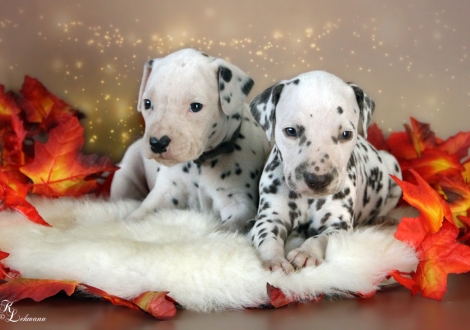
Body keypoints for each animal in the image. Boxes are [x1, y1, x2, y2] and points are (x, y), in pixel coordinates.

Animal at [111, 47, 270, 231]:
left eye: (195, 106)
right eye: (147, 103)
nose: (157, 143)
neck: (199, 164)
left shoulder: (239, 202)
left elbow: (230, 225)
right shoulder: (164, 194)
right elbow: (140, 213)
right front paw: (124, 225)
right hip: (124, 177)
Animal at [250, 71, 400, 274]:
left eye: (346, 134)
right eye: (291, 131)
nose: (318, 180)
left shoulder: (338, 226)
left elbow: (321, 238)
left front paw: (306, 253)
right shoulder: (270, 218)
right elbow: (267, 237)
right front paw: (274, 260)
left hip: (393, 164)